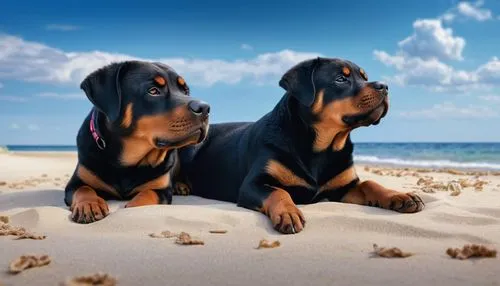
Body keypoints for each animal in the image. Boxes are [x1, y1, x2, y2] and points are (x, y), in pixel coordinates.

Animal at [64, 61, 209, 225]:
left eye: (186, 91)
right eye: (153, 91)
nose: (205, 108)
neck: (128, 162)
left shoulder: (161, 190)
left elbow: (147, 195)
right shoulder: (77, 181)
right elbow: (84, 189)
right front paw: (89, 205)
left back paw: (180, 186)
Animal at [174, 56, 424, 235]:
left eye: (364, 76)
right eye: (341, 79)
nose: (385, 86)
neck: (322, 147)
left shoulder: (343, 187)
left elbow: (371, 183)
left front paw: (400, 196)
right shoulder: (253, 184)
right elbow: (279, 191)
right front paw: (289, 212)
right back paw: (180, 186)